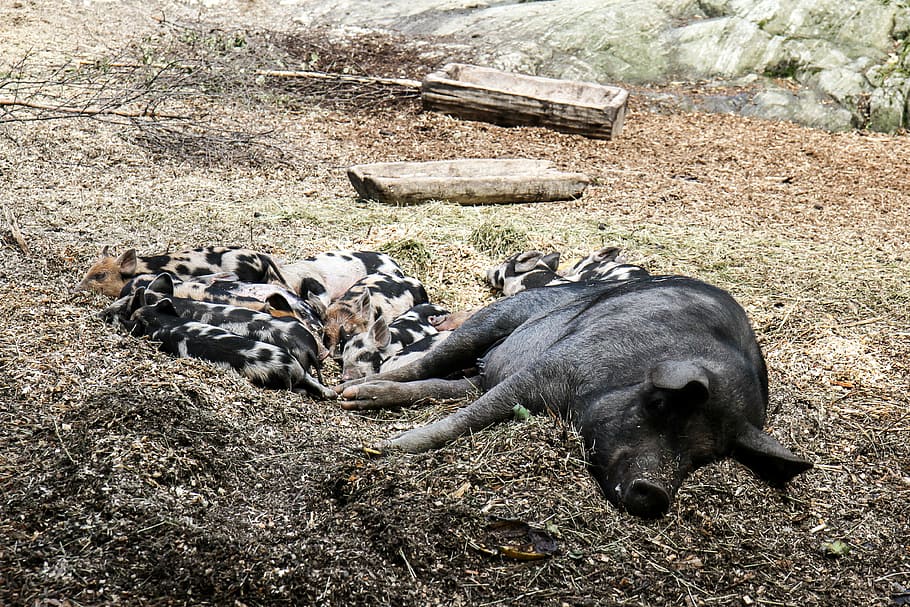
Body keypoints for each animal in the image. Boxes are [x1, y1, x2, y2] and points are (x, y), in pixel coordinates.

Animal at [337, 276, 813, 518]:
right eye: (659, 406)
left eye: (705, 455)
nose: (657, 492)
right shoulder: (556, 363)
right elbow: (469, 417)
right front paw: (383, 448)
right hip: (504, 315)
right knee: (438, 364)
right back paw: (349, 395)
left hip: (486, 367)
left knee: (453, 386)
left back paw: (358, 397)